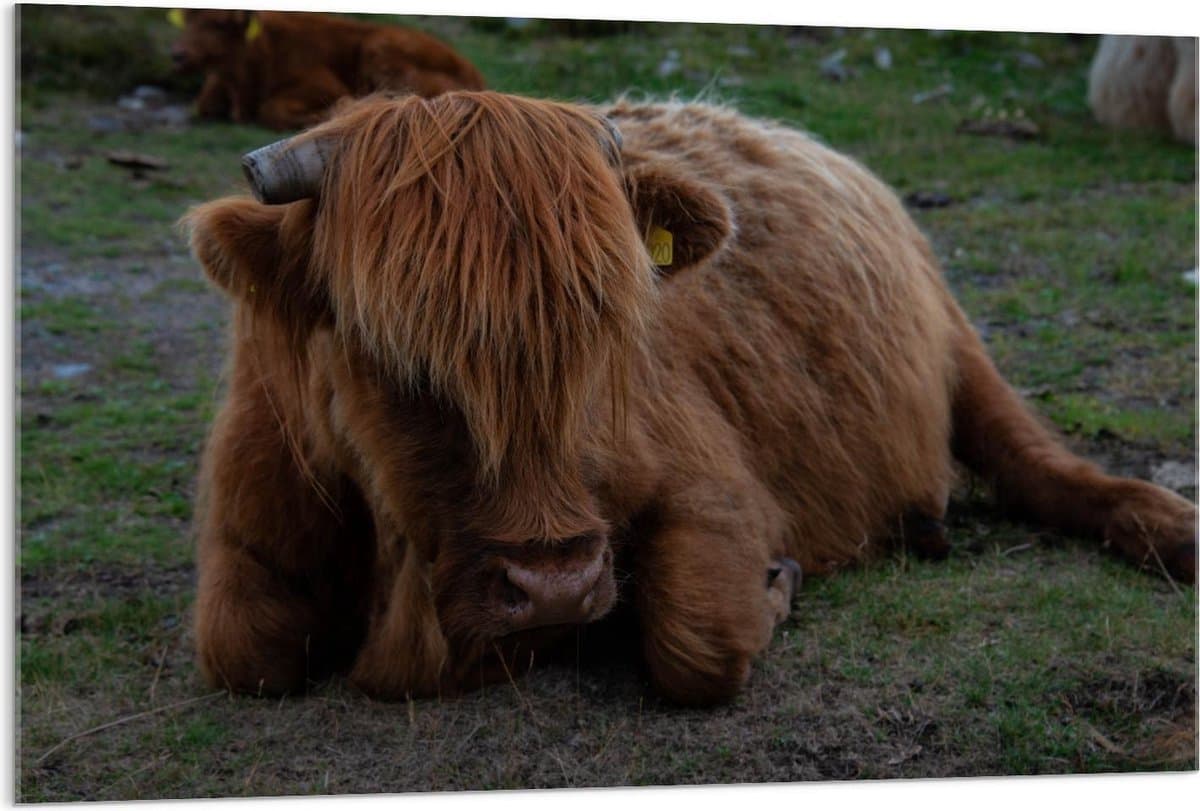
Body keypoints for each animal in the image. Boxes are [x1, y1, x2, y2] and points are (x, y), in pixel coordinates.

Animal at [167, 8, 485, 131]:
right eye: (186, 19)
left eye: (219, 23)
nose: (178, 55)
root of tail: (471, 69)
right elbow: (203, 106)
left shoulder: (323, 86)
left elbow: (272, 109)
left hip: (379, 46)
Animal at [184, 91, 1196, 706]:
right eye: (391, 353)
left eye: (614, 324)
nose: (555, 585)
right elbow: (244, 648)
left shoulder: (712, 487)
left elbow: (696, 640)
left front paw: (777, 584)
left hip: (960, 350)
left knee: (1048, 465)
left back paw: (1173, 531)